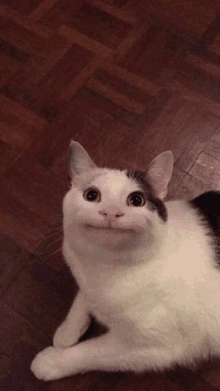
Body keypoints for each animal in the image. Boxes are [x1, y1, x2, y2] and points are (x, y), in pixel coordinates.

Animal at [30, 142, 220, 382]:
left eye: (137, 200)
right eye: (92, 195)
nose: (111, 212)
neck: (109, 266)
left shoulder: (159, 348)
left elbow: (92, 353)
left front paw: (51, 362)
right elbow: (82, 297)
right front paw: (67, 332)